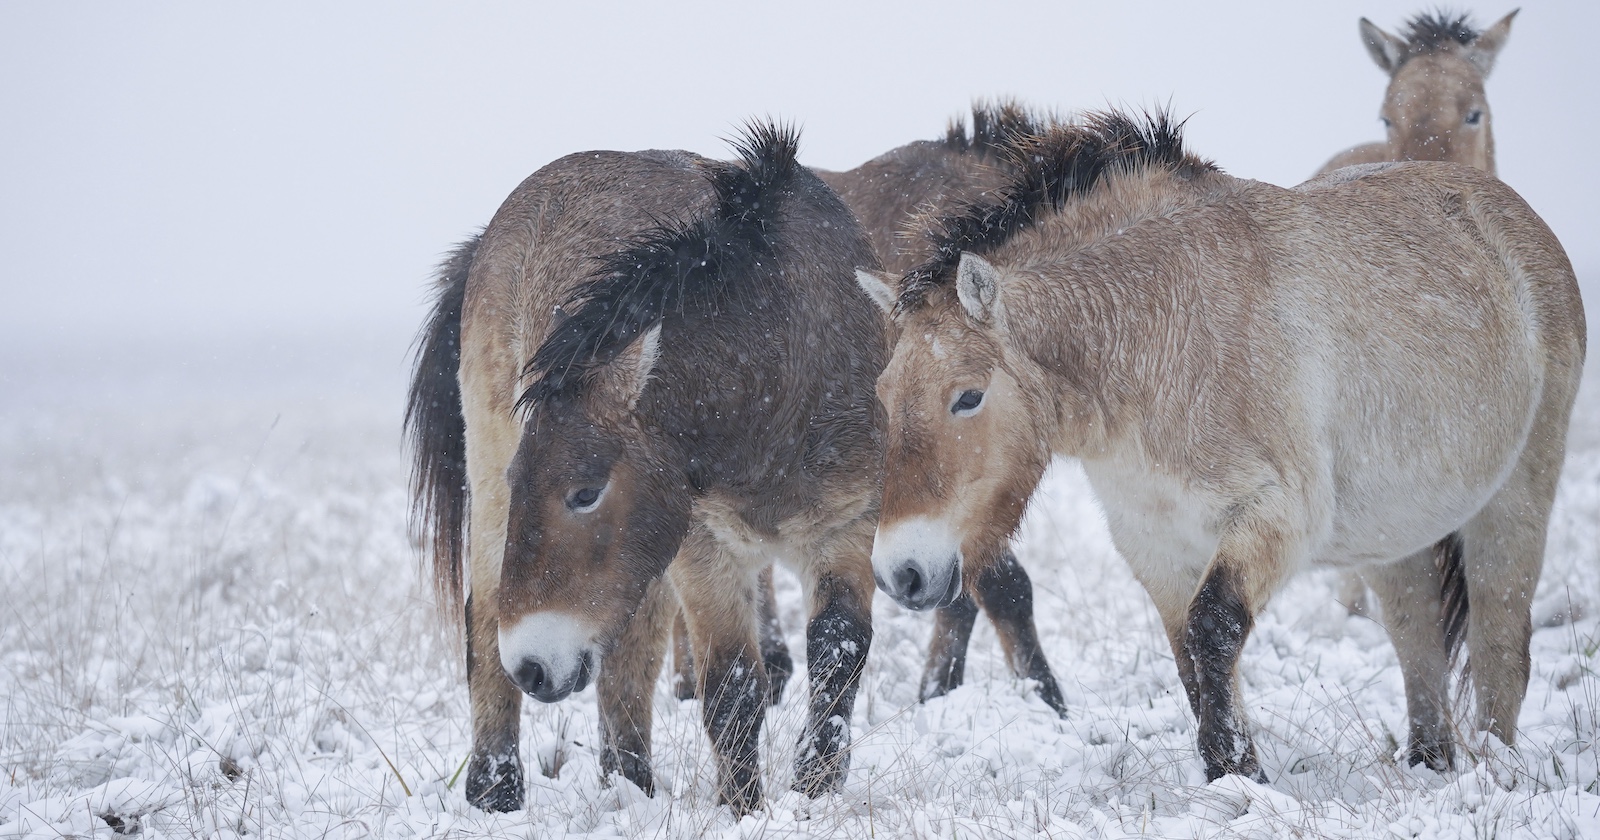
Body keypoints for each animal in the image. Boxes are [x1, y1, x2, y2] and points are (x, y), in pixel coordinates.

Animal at [406, 123, 885, 815]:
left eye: (586, 491)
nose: (533, 666)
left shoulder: (849, 525)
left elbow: (838, 653)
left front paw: (816, 789)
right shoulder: (703, 545)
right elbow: (733, 685)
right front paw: (744, 809)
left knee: (627, 654)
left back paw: (628, 785)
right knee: (489, 614)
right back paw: (496, 791)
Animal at [855, 109, 1584, 781]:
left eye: (967, 397)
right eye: (884, 394)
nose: (901, 573)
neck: (1161, 326)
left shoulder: (1276, 520)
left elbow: (1214, 631)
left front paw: (1236, 776)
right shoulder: (1155, 544)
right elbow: (1192, 658)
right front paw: (1234, 775)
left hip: (1515, 499)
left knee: (1500, 644)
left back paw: (1495, 772)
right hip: (1394, 535)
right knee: (1417, 639)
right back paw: (1429, 764)